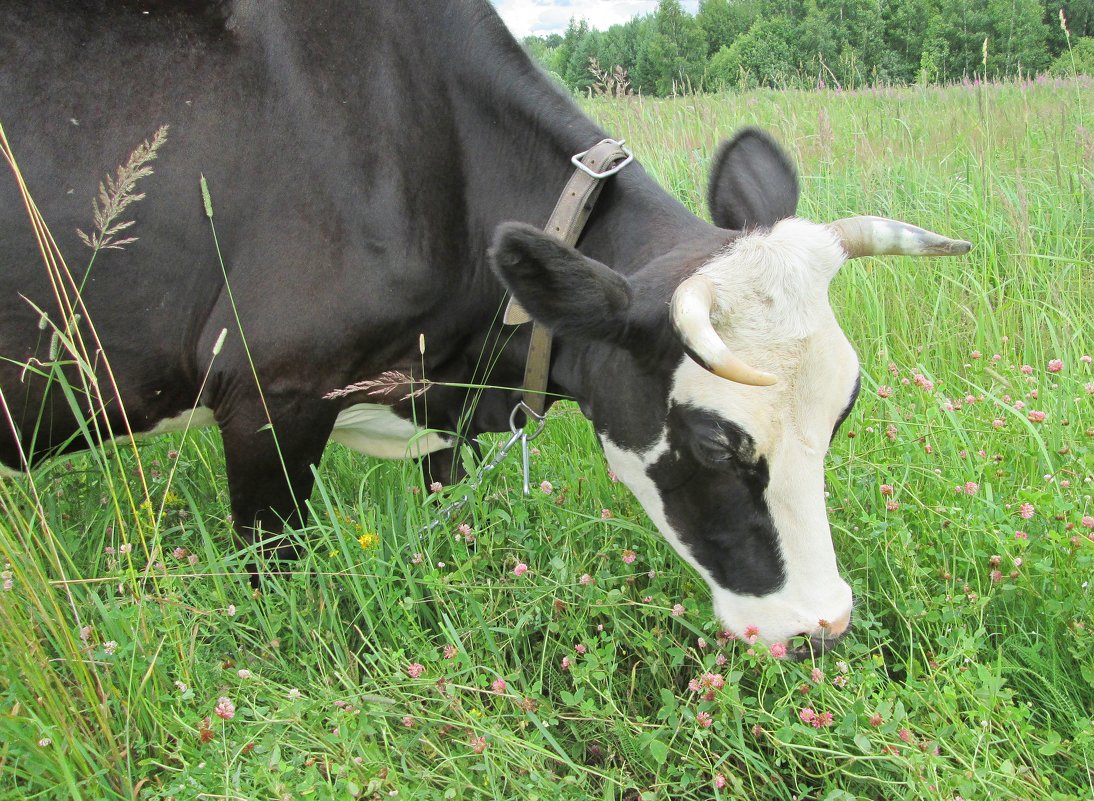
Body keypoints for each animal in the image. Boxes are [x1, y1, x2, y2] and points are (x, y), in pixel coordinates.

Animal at [0, 0, 971, 652]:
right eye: (711, 442)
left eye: (840, 415)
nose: (823, 626)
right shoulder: (270, 396)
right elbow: (271, 585)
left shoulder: (446, 418)